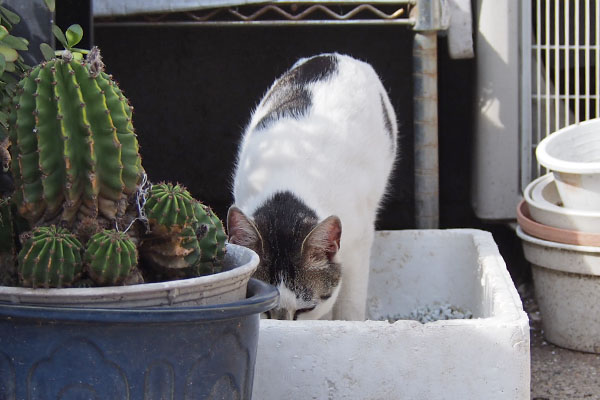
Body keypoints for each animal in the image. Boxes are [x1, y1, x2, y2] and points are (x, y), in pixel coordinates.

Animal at [227, 53, 396, 322]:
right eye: (265, 310)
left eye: (306, 308)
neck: (286, 196)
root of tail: (335, 55)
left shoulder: (359, 242)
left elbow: (350, 305)